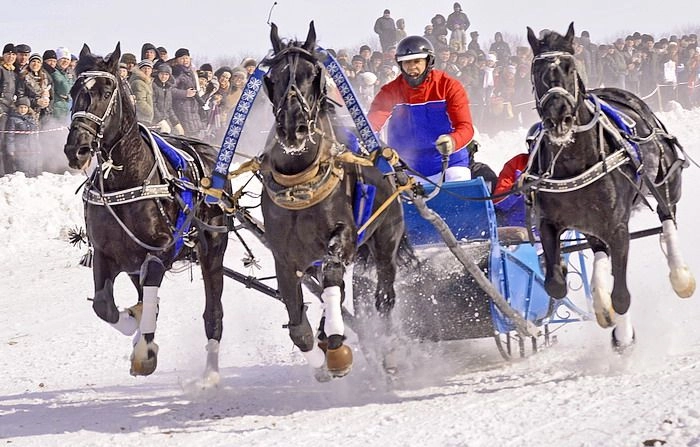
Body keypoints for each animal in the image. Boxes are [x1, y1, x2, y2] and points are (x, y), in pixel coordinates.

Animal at [64, 44, 228, 382]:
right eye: (74, 91)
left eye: (106, 91)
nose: (77, 149)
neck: (127, 178)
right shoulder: (107, 253)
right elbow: (104, 307)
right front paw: (134, 324)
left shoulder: (159, 252)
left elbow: (151, 293)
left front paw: (144, 351)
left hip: (213, 250)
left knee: (213, 312)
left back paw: (210, 374)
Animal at [260, 22, 404, 380]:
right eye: (273, 76)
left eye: (314, 74)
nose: (293, 128)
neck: (300, 182)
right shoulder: (284, 256)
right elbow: (298, 325)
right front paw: (319, 358)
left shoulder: (344, 237)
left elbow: (333, 273)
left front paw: (337, 346)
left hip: (387, 237)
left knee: (384, 294)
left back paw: (387, 350)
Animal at [524, 24, 696, 350]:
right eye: (536, 70)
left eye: (570, 68)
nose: (558, 116)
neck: (574, 163)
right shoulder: (548, 222)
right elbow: (555, 284)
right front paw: (567, 274)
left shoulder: (617, 227)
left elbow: (622, 296)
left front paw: (624, 336)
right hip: (592, 223)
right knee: (599, 250)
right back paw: (601, 303)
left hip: (668, 180)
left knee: (668, 218)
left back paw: (680, 275)